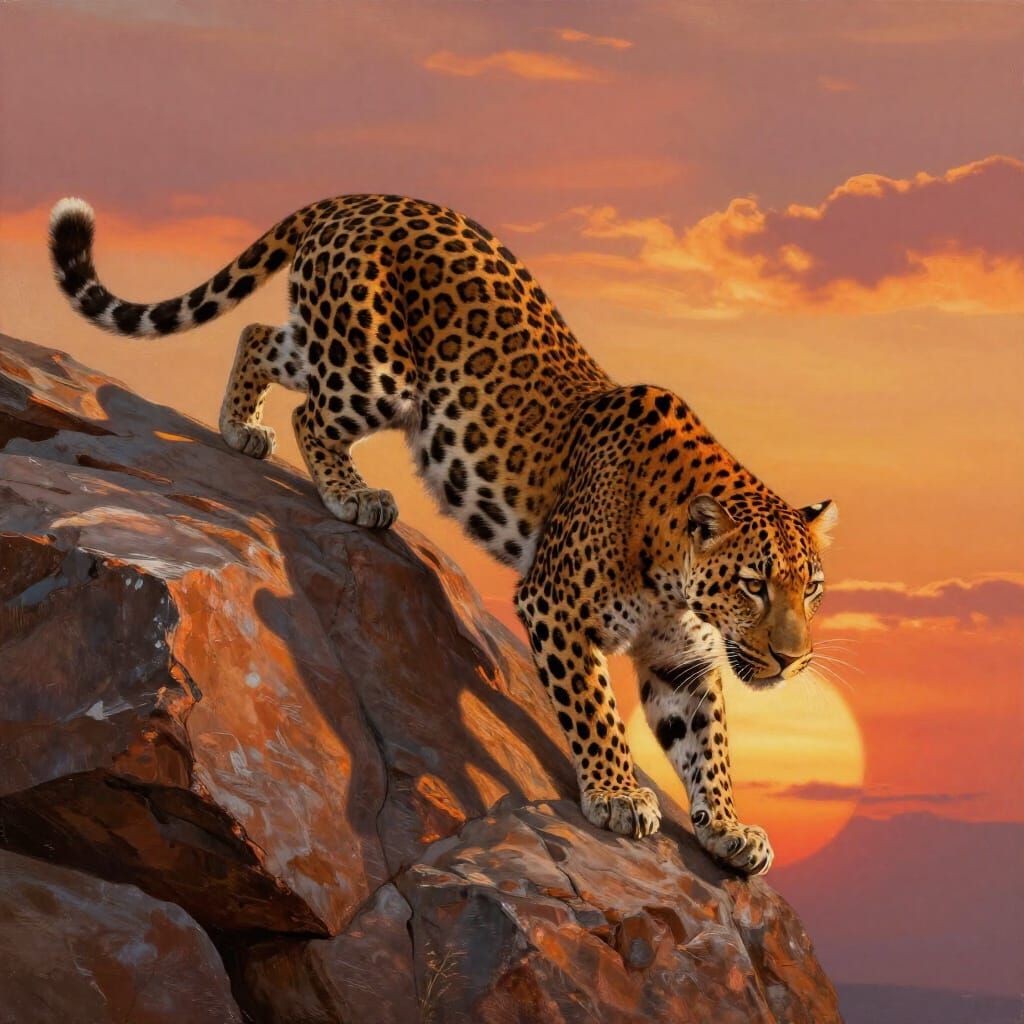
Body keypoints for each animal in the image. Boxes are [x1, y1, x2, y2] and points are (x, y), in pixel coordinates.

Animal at [49, 193, 838, 876]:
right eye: (754, 584)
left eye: (813, 592)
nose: (794, 660)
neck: (678, 574)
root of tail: (362, 198)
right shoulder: (555, 607)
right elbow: (595, 711)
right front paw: (616, 795)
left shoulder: (683, 660)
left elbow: (709, 745)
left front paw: (728, 828)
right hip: (377, 370)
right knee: (311, 410)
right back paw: (352, 493)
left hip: (333, 343)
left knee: (261, 336)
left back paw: (242, 426)